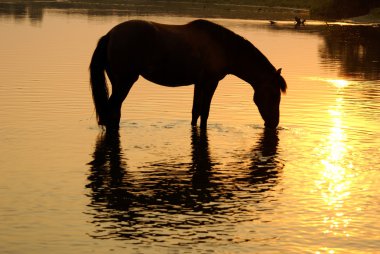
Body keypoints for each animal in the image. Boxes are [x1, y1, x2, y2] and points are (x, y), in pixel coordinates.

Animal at [89, 18, 286, 129]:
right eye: (274, 95)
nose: (274, 123)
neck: (223, 46)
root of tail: (110, 34)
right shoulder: (210, 82)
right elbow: (204, 112)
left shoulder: (199, 83)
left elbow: (195, 112)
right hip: (125, 82)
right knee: (111, 111)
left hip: (118, 82)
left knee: (114, 112)